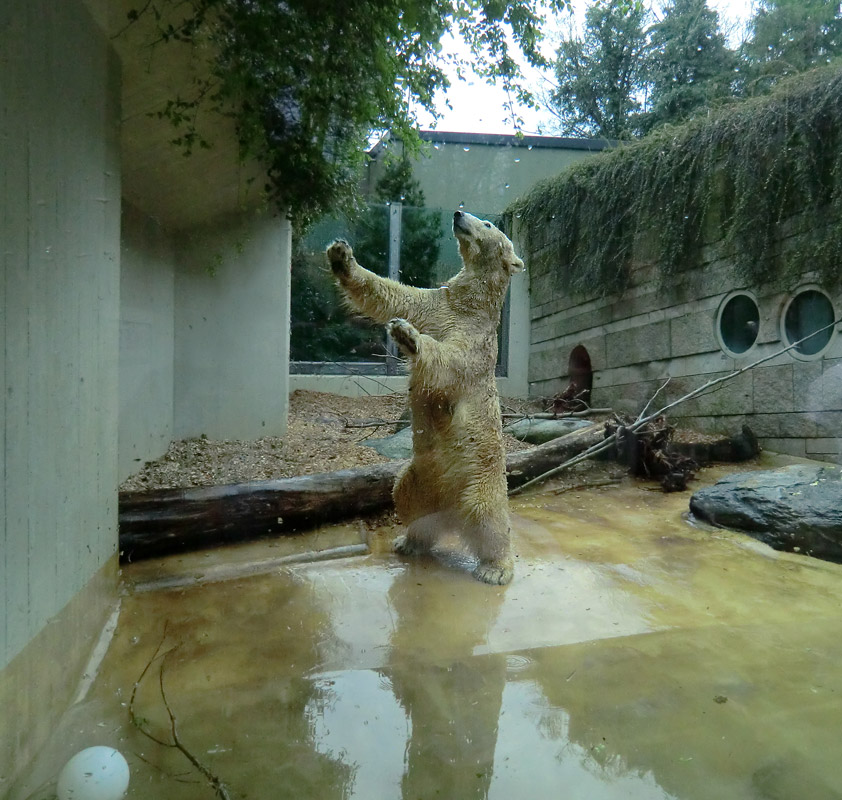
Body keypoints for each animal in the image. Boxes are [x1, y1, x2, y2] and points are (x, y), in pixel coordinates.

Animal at [324, 211, 520, 588]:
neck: (468, 306)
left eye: (488, 224)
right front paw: (341, 256)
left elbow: (451, 364)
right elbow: (393, 295)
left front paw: (408, 336)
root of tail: (452, 514)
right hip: (417, 478)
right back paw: (410, 540)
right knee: (406, 499)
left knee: (488, 518)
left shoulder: (477, 342)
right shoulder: (436, 304)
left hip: (482, 479)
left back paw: (495, 568)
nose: (458, 214)